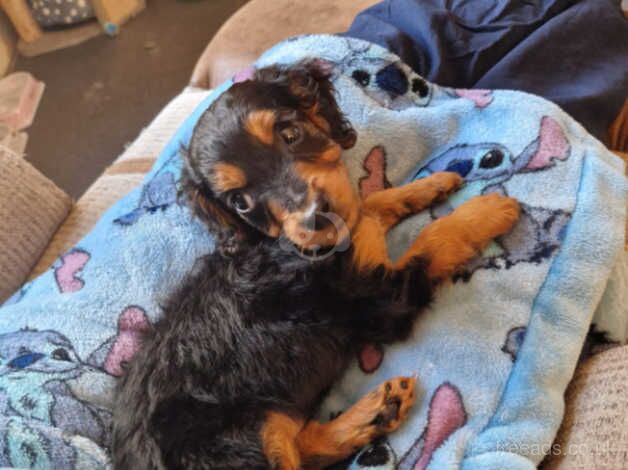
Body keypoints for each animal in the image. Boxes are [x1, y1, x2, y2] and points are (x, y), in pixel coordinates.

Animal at [113, 62, 520, 470]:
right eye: (240, 203)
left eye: (291, 134)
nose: (314, 219)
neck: (276, 243)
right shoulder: (381, 298)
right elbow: (432, 240)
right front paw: (488, 210)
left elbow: (372, 205)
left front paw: (431, 184)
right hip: (244, 443)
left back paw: (380, 410)